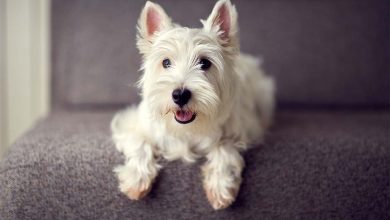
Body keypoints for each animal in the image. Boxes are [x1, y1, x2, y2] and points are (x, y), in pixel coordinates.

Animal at [110, 0, 274, 210]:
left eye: (205, 63)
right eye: (166, 62)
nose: (180, 95)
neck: (186, 129)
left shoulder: (242, 132)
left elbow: (224, 148)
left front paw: (220, 186)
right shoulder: (130, 124)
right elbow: (140, 143)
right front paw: (136, 179)